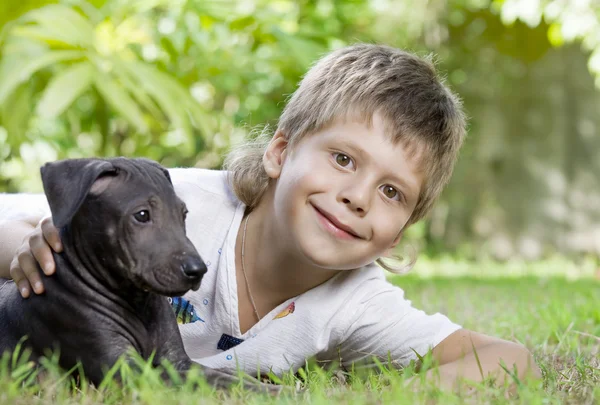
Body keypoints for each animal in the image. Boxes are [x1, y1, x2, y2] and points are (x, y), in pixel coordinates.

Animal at [0, 157, 229, 386]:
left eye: (183, 214)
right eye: (142, 215)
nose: (198, 270)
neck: (136, 301)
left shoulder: (177, 360)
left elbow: (217, 375)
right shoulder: (123, 369)